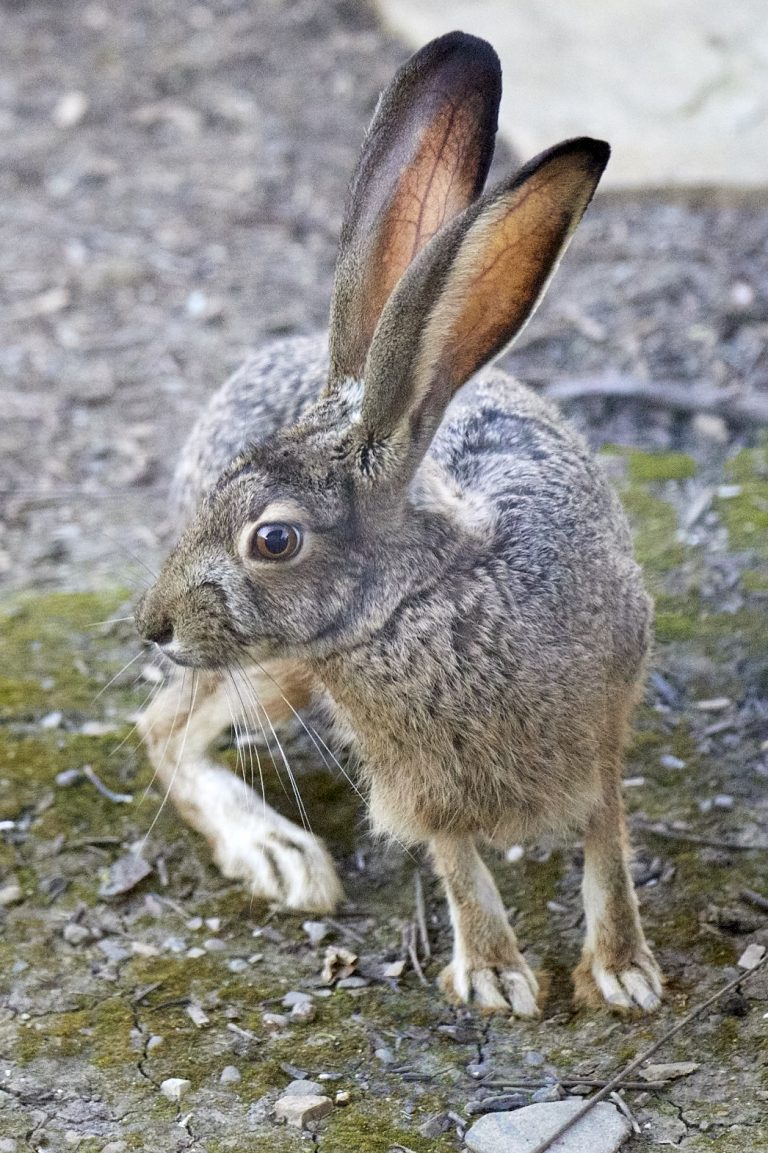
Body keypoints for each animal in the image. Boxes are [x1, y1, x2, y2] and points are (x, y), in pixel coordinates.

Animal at [135, 30, 663, 1016]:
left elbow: (606, 839)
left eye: (274, 538)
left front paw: (624, 971)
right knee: (162, 726)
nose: (155, 624)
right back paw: (280, 856)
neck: (426, 596)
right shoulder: (415, 777)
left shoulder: (604, 726)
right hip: (271, 669)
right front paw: (495, 973)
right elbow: (454, 854)